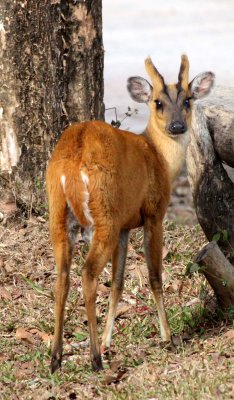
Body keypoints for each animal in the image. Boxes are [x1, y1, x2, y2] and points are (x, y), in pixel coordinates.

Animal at [46, 55, 215, 372]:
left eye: (187, 100)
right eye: (158, 102)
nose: (177, 126)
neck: (159, 158)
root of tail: (73, 160)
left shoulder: (126, 225)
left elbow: (118, 283)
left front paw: (109, 341)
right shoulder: (153, 213)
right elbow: (154, 276)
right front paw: (167, 337)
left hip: (59, 214)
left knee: (62, 276)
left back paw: (56, 358)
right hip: (104, 216)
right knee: (87, 274)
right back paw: (94, 359)